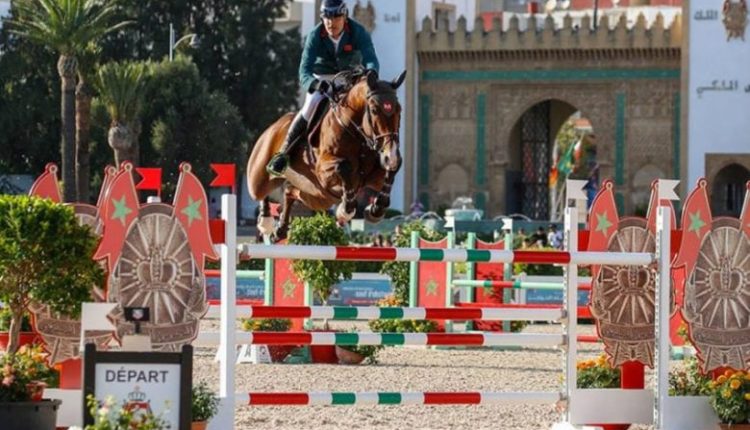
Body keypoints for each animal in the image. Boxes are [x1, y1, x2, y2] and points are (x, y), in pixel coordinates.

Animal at [247, 69, 405, 241]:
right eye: (375, 110)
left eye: (399, 110)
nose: (391, 155)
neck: (356, 133)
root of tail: (273, 126)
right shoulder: (322, 172)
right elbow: (344, 167)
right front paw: (344, 210)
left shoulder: (374, 176)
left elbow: (391, 172)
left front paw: (375, 209)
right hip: (259, 178)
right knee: (261, 192)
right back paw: (265, 220)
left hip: (316, 195)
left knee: (290, 192)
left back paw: (280, 229)